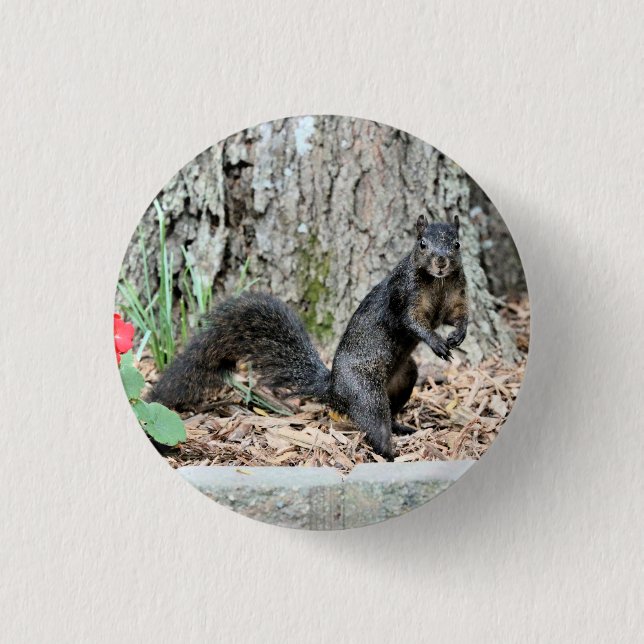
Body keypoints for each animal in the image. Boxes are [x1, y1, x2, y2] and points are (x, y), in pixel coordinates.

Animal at [150, 213, 469, 460]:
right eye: (422, 244)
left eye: (456, 244)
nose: (441, 261)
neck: (437, 283)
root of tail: (333, 389)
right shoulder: (404, 295)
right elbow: (412, 322)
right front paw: (437, 342)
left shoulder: (455, 296)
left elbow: (459, 316)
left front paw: (458, 335)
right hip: (364, 390)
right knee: (374, 421)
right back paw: (388, 452)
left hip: (405, 377)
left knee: (391, 410)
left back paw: (400, 428)